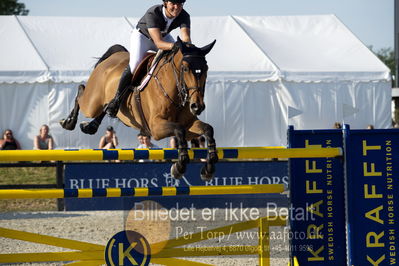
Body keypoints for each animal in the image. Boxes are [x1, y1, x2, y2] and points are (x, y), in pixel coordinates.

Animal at [59, 37, 219, 181]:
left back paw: (91, 125)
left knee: (103, 108)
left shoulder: (188, 124)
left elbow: (208, 130)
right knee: (81, 92)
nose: (197, 106)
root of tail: (115, 55)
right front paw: (179, 167)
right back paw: (68, 122)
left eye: (206, 69)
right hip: (92, 103)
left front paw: (209, 168)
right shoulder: (156, 128)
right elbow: (179, 130)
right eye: (185, 69)